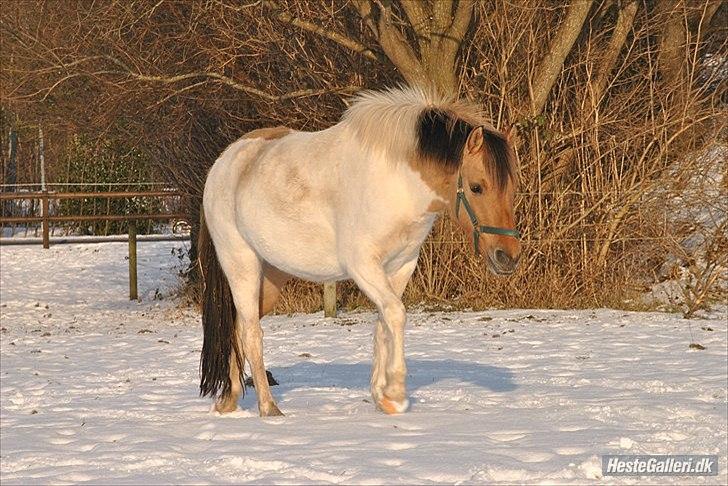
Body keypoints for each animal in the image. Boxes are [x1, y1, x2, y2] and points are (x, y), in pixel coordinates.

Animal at [196, 85, 520, 416]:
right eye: (477, 187)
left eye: (512, 187)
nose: (507, 256)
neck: (398, 183)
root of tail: (222, 165)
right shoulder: (363, 265)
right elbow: (396, 314)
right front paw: (396, 392)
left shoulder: (401, 265)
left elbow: (384, 324)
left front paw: (382, 397)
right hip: (242, 264)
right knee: (251, 334)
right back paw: (268, 407)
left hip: (271, 276)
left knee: (238, 329)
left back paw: (230, 400)